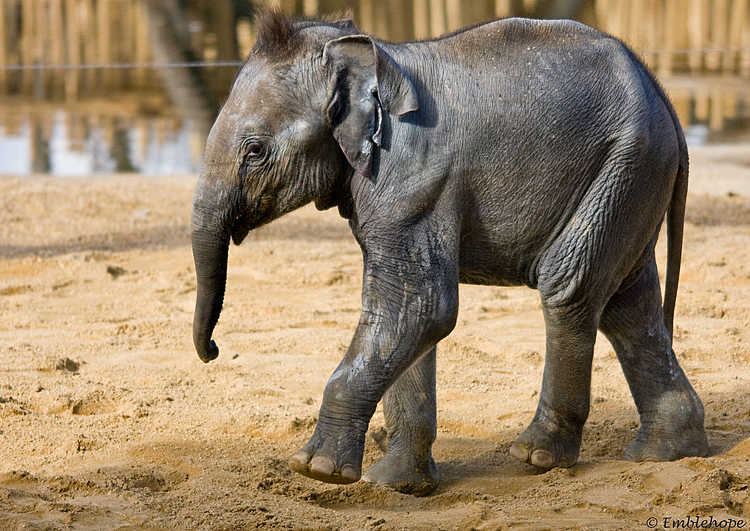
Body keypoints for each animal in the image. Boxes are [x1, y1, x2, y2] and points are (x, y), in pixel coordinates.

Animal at [190, 11, 709, 496]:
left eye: (255, 151)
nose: (214, 352)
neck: (368, 54)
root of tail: (664, 98)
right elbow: (407, 314)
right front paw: (395, 484)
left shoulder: (412, 179)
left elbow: (421, 307)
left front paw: (318, 470)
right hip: (630, 178)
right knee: (628, 303)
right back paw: (666, 453)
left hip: (625, 162)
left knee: (570, 288)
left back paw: (537, 455)